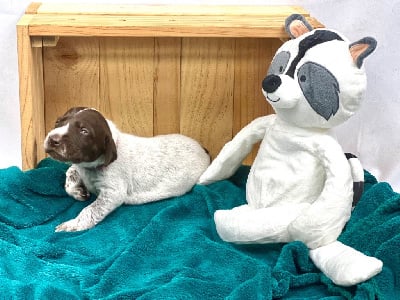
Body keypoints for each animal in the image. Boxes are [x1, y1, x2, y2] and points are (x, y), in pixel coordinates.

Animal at [45, 107, 211, 232]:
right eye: (58, 122)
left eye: (84, 131)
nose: (52, 139)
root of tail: (203, 149)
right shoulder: (80, 167)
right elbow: (71, 171)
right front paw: (77, 191)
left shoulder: (113, 193)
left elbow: (90, 210)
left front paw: (72, 224)